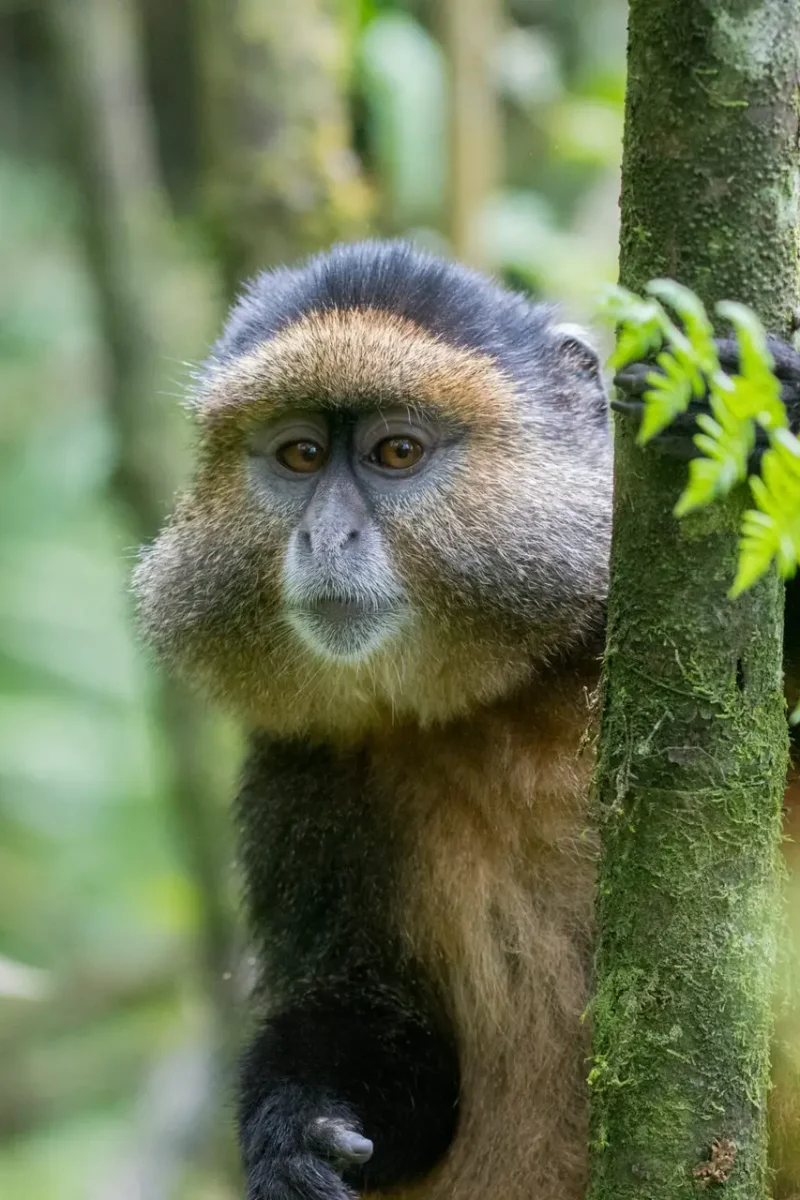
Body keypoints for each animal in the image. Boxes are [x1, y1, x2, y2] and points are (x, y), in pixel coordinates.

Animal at [132, 239, 800, 1200]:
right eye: (300, 455)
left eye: (396, 451)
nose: (325, 537)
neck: (504, 697)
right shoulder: (301, 772)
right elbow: (387, 1033)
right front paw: (294, 1132)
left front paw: (761, 413)